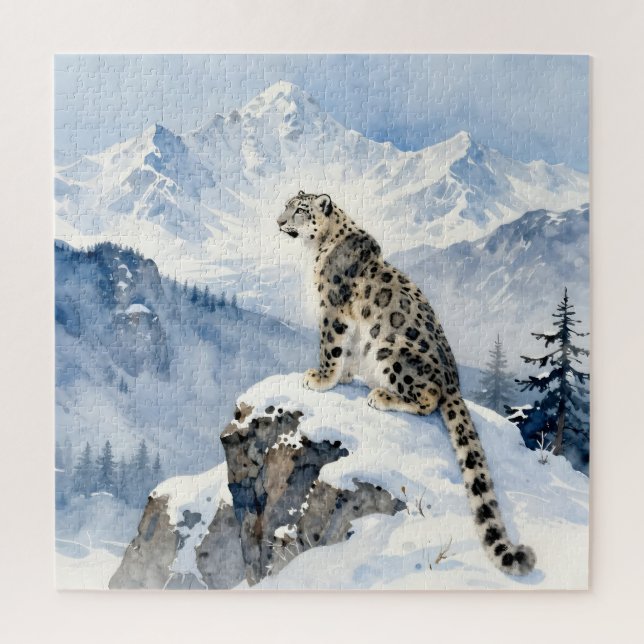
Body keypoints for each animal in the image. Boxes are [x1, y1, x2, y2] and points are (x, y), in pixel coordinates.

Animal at [276, 190, 536, 576]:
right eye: (286, 205)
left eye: (300, 210)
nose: (279, 221)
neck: (319, 248)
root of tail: (454, 382)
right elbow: (347, 351)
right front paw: (343, 374)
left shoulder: (333, 308)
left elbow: (331, 346)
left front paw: (321, 378)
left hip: (393, 351)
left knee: (428, 398)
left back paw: (382, 396)